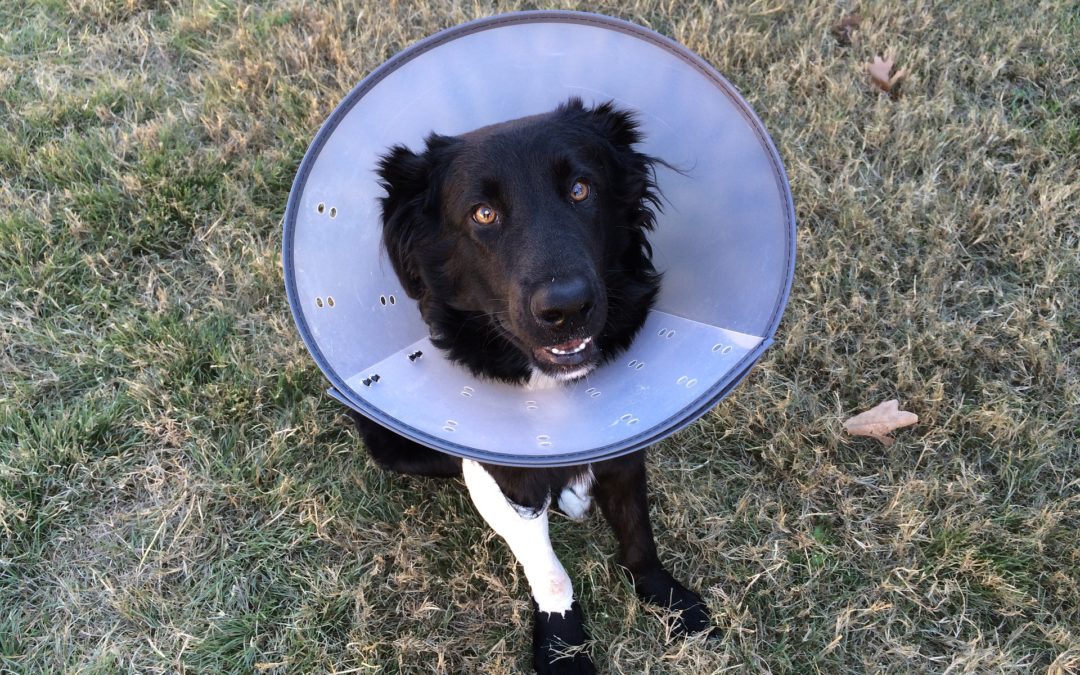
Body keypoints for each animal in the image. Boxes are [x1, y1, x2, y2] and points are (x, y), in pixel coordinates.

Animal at [349, 97, 712, 669]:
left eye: (581, 189)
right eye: (483, 213)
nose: (566, 309)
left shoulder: (627, 438)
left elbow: (638, 533)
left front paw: (667, 598)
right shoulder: (508, 473)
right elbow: (545, 565)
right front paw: (562, 644)